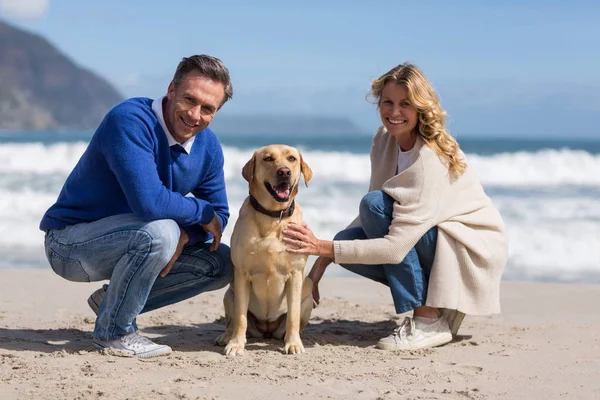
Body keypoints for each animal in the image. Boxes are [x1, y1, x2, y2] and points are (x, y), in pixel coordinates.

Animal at [216, 145, 314, 356]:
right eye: (268, 158)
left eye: (292, 159)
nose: (284, 172)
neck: (272, 216)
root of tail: (266, 330)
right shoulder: (242, 274)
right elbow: (241, 318)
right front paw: (236, 344)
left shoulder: (295, 275)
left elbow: (293, 316)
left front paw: (293, 343)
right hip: (229, 294)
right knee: (232, 321)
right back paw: (226, 336)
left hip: (309, 292)